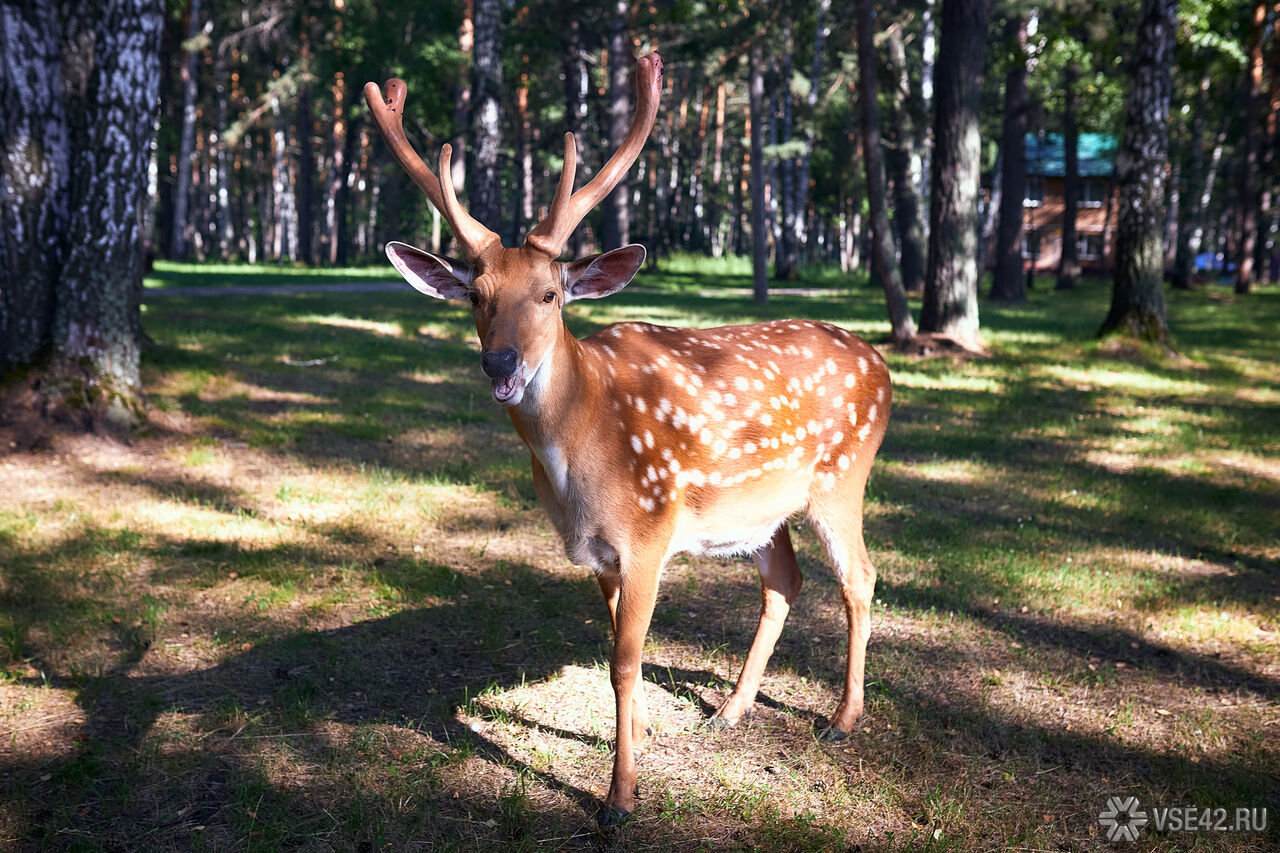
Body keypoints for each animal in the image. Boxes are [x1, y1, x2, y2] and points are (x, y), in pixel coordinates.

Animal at [363, 53, 890, 824]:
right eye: (475, 296)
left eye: (551, 293)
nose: (501, 363)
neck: (581, 455)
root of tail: (883, 363)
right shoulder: (598, 552)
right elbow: (618, 648)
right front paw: (639, 734)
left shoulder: (649, 532)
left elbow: (623, 659)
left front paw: (620, 794)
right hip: (762, 512)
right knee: (784, 582)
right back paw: (730, 710)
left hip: (843, 475)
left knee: (859, 577)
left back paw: (843, 720)